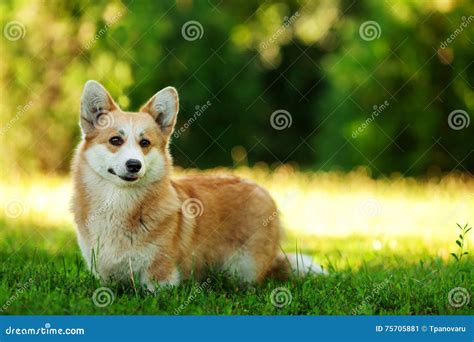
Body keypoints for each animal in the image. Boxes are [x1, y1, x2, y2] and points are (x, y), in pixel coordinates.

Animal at [71, 81, 326, 292]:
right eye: (115, 140)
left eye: (145, 143)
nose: (134, 165)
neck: (119, 202)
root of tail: (260, 188)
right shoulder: (104, 274)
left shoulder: (160, 275)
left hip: (245, 267)